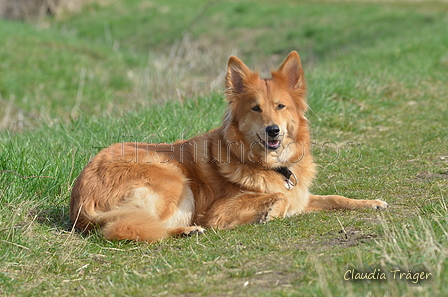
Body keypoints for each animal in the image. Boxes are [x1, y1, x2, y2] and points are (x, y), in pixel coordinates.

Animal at [70, 51, 388, 240]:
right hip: (175, 180)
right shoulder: (217, 212)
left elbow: (336, 198)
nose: (273, 130)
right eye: (255, 108)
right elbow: (275, 198)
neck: (272, 166)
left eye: (280, 106)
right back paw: (188, 230)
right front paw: (270, 212)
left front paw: (370, 202)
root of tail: (81, 198)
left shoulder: (302, 196)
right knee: (133, 226)